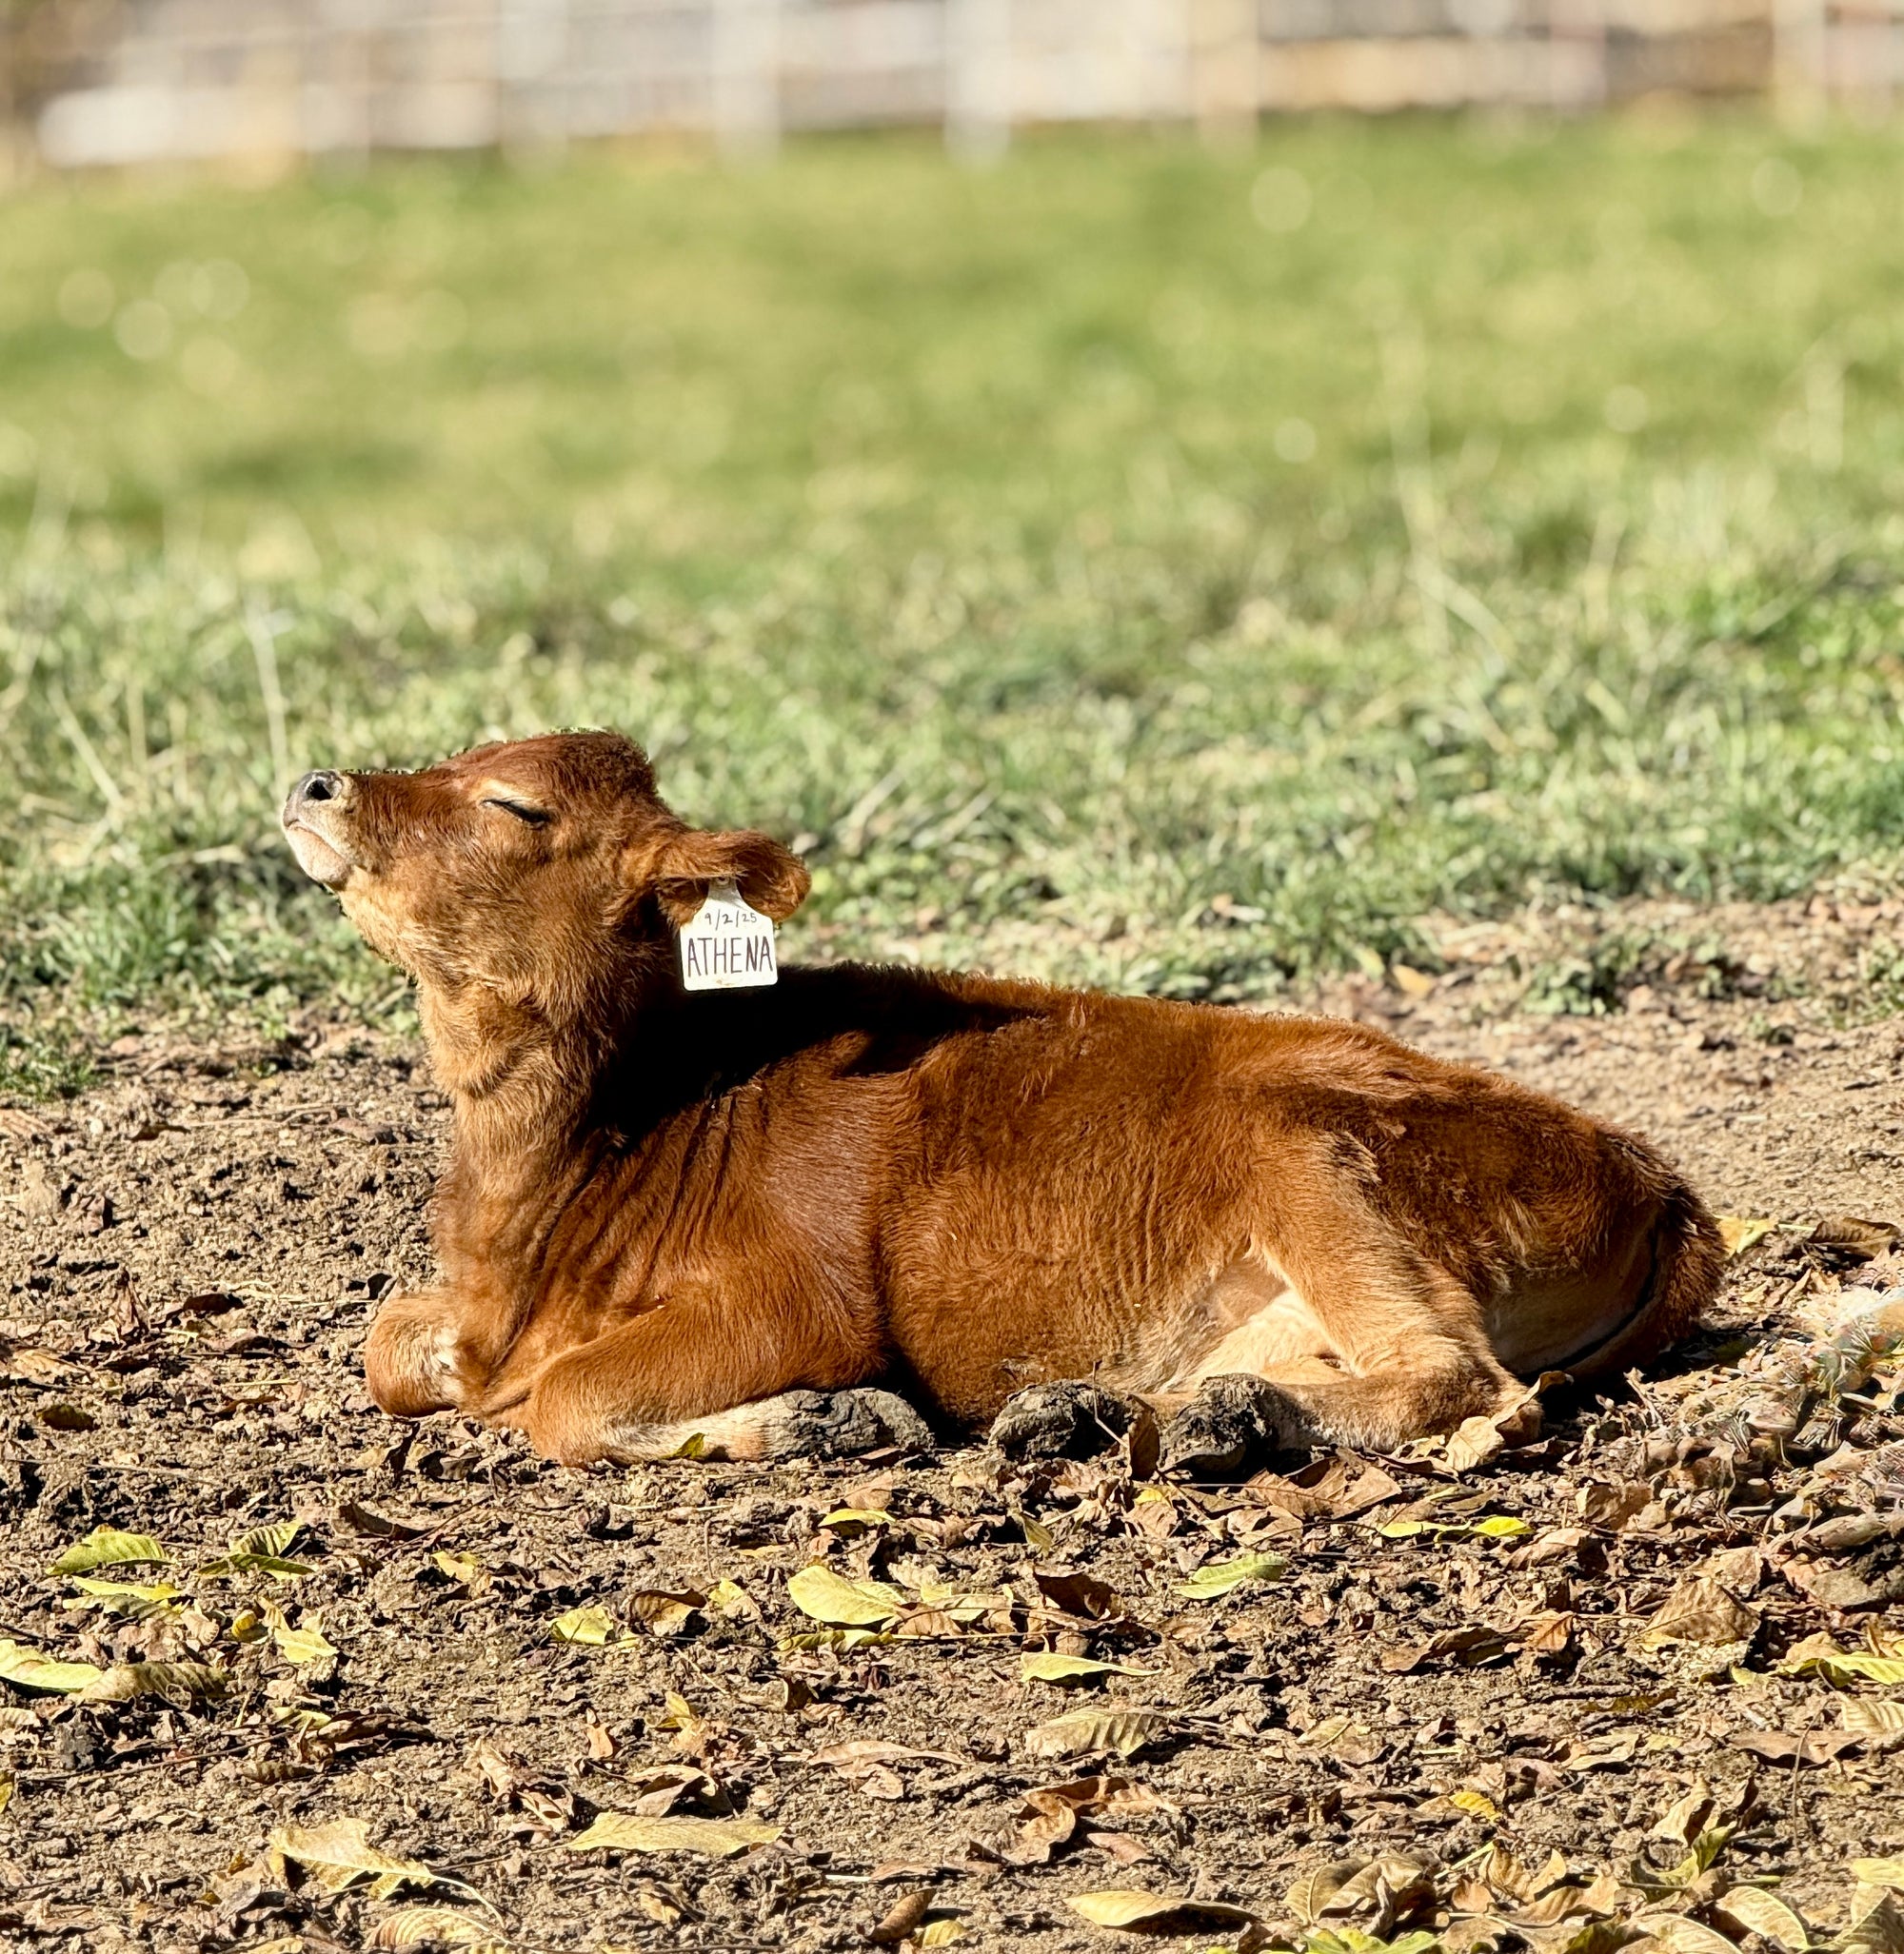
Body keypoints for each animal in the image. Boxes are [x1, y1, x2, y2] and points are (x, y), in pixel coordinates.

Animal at [281, 729, 1722, 1475]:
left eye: (513, 801)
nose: (315, 783)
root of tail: (1653, 1174)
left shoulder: (802, 1298)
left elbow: (568, 1404)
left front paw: (828, 1419)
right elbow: (389, 1343)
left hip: (1316, 1153)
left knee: (1464, 1383)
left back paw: (1195, 1423)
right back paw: (1100, 1411)